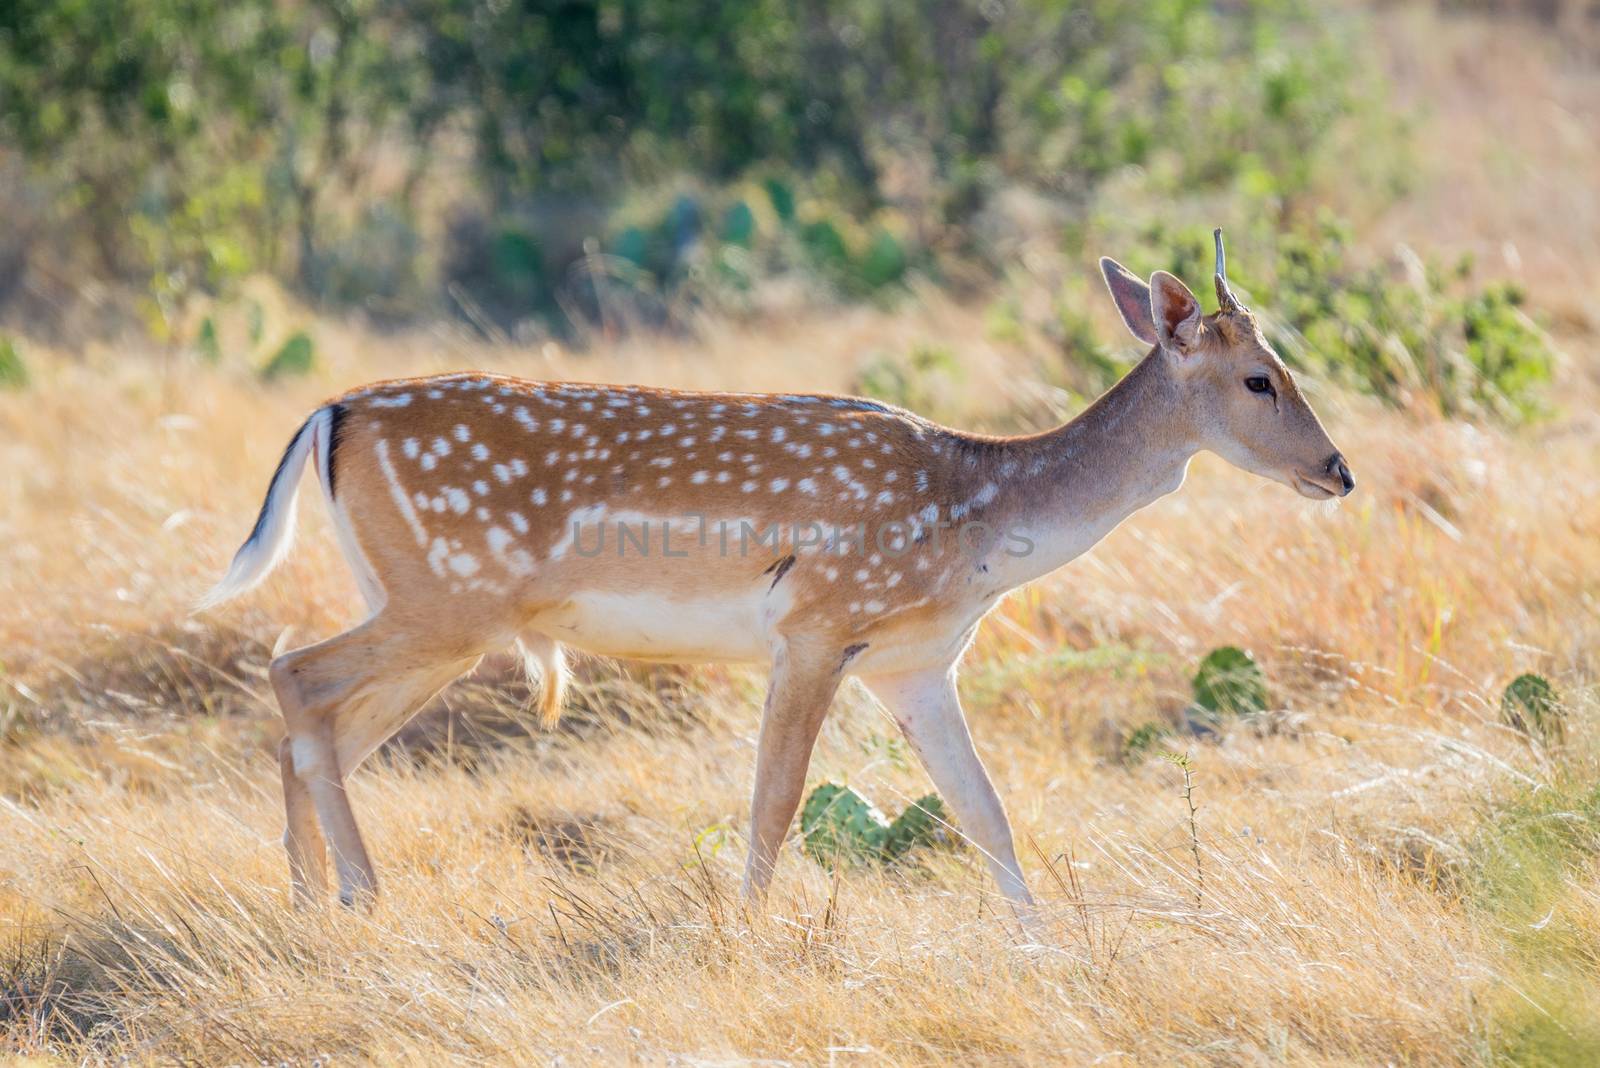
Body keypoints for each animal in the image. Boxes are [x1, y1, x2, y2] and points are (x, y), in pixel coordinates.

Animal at [200, 233, 1350, 920]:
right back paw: (359, 897)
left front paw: (1040, 945)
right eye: (1260, 378)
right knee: (296, 676)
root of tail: (327, 414)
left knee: (321, 720)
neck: (978, 519)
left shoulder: (916, 662)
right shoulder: (815, 622)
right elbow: (777, 803)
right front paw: (747, 934)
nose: (1337, 470)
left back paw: (312, 902)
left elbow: (982, 807)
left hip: (434, 611)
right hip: (447, 599)